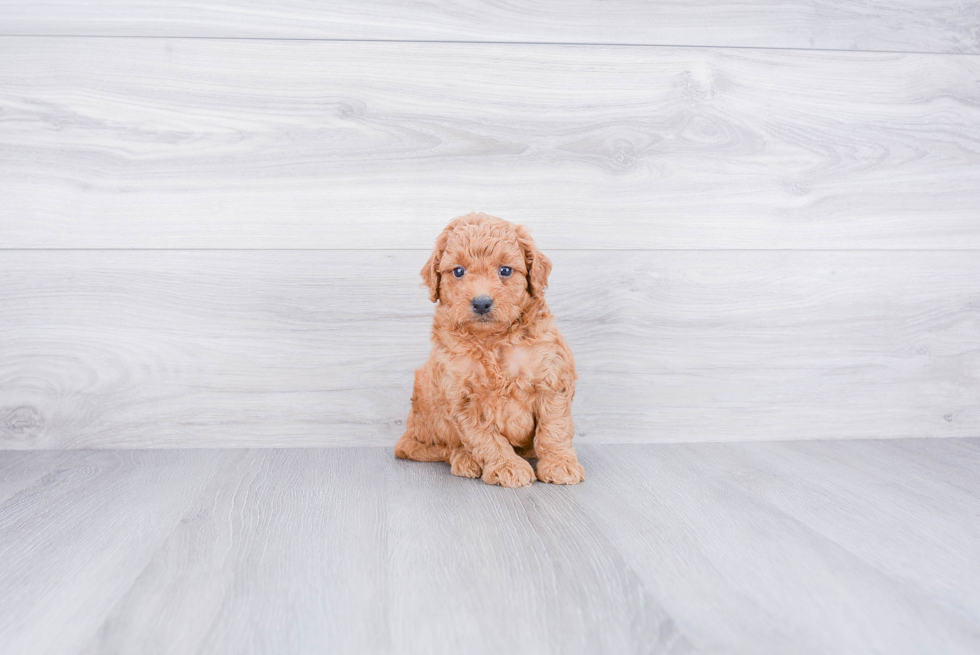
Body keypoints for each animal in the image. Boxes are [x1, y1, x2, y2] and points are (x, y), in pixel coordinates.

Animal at [394, 211, 584, 486]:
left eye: (505, 270)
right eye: (458, 271)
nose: (481, 303)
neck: (493, 340)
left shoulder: (552, 378)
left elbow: (554, 428)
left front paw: (559, 463)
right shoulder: (461, 397)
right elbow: (485, 438)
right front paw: (507, 466)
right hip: (426, 408)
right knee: (440, 447)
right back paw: (465, 459)